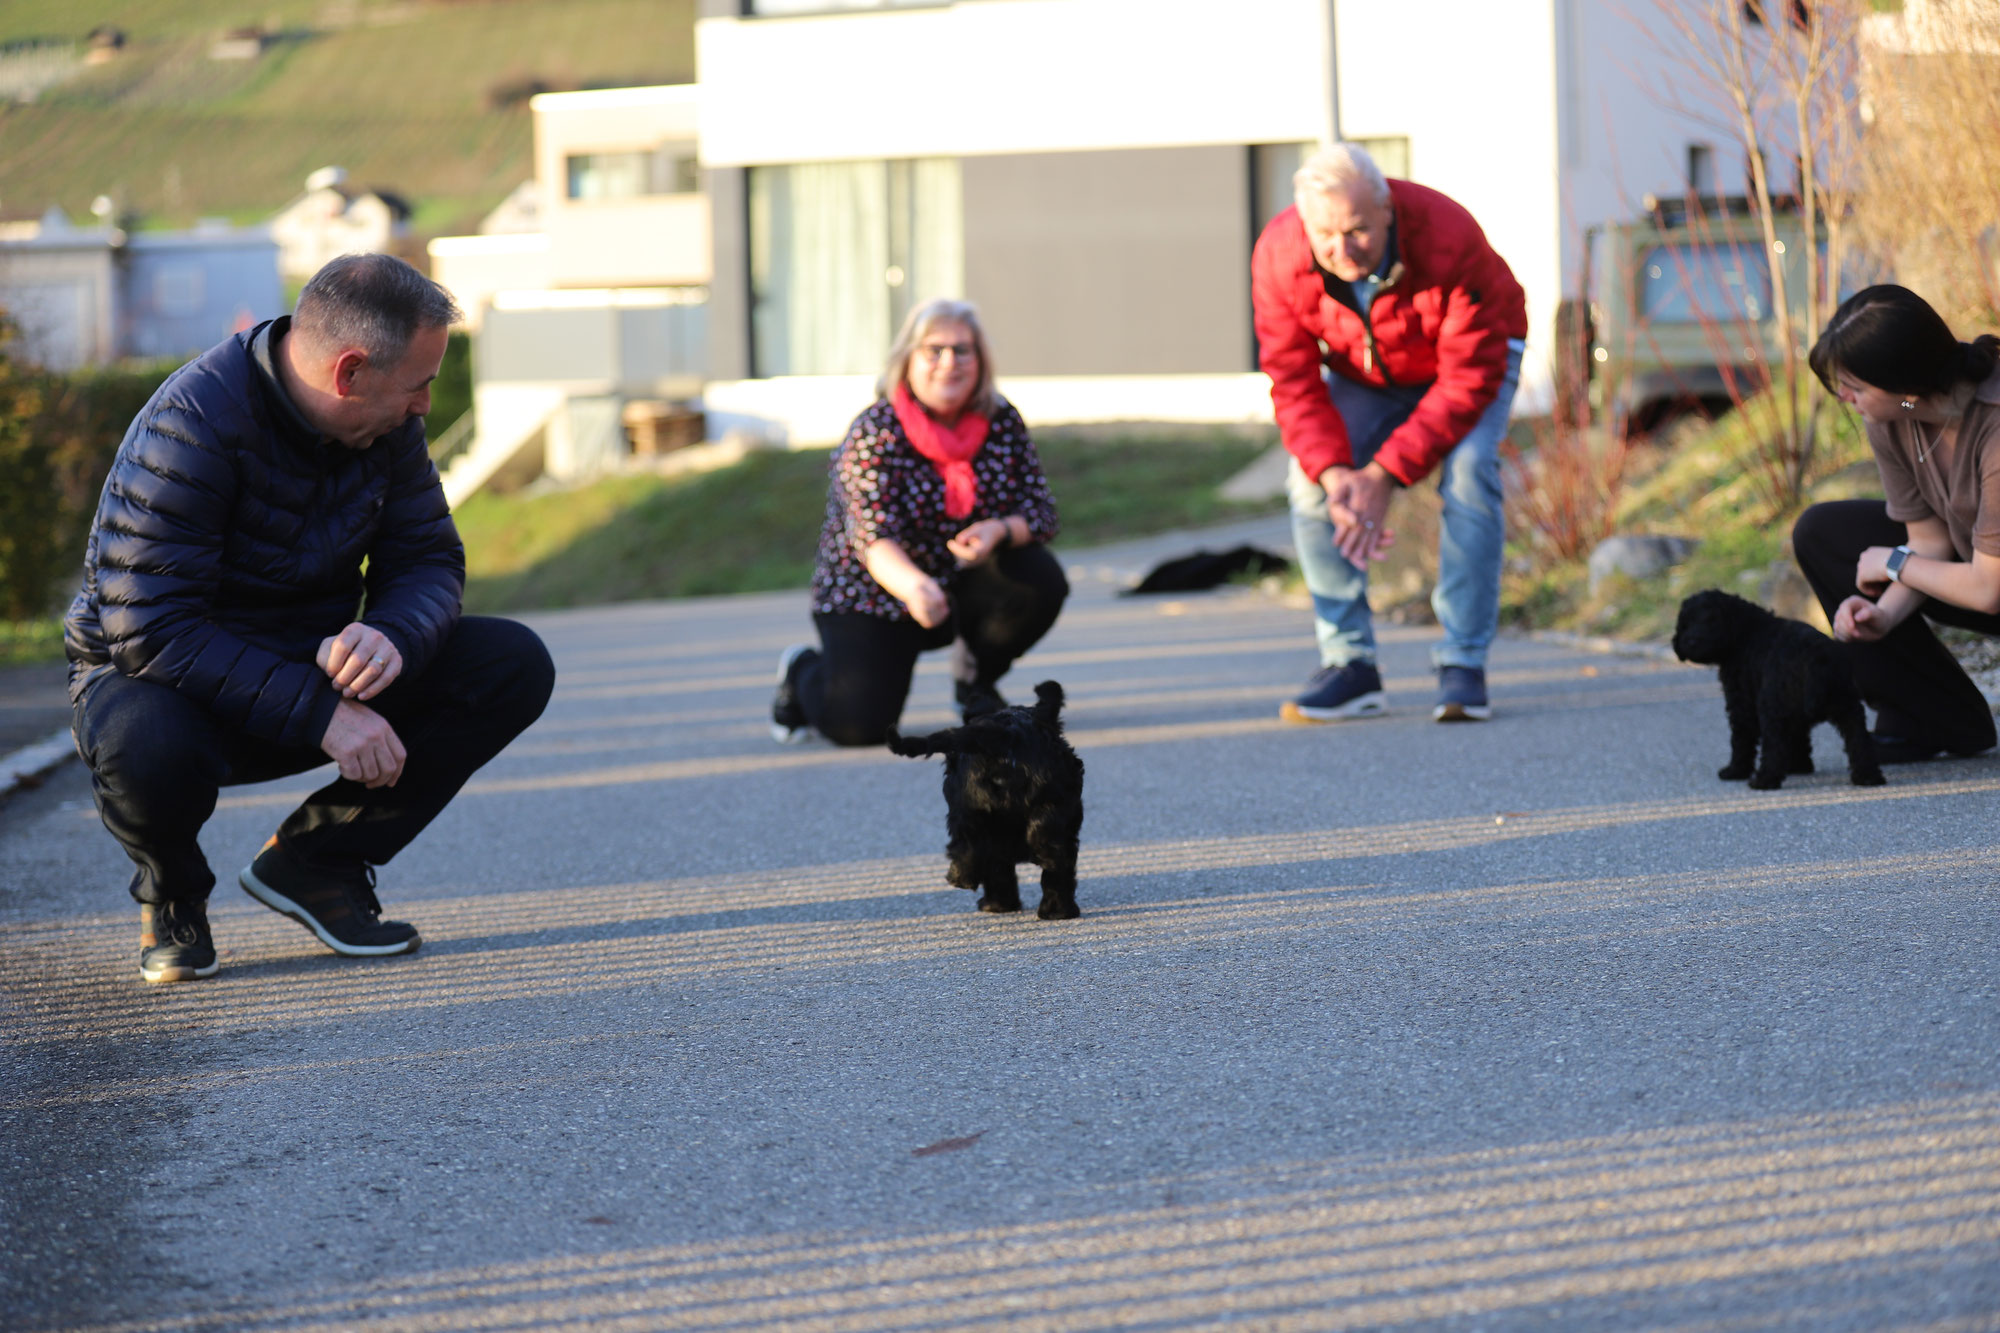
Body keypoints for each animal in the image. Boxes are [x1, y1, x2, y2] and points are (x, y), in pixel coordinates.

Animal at [888, 676, 1088, 912]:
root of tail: (1006, 736)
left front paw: (995, 905)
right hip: (1052, 804)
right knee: (1055, 854)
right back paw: (1057, 908)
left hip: (968, 812)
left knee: (969, 847)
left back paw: (961, 877)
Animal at [1672, 584, 1888, 788]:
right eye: (1685, 624)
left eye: (1710, 620)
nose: (1690, 641)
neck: (1744, 632)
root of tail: (1818, 656)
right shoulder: (1795, 713)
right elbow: (1799, 737)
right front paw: (1799, 766)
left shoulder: (1742, 704)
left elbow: (1741, 739)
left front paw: (1735, 771)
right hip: (1848, 705)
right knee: (1859, 741)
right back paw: (1868, 776)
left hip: (1773, 707)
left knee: (1772, 746)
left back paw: (1763, 780)